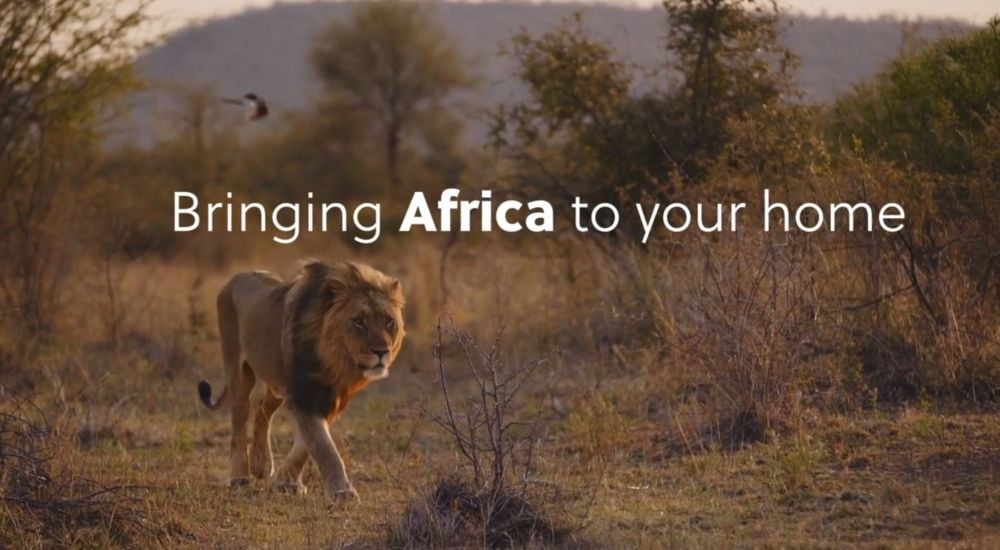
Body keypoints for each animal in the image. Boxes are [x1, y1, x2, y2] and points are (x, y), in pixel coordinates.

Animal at [196, 260, 405, 501]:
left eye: (388, 321)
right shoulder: (302, 394)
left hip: (276, 385)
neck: (335, 364)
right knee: (239, 422)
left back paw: (262, 464)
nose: (382, 351)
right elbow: (323, 446)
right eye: (358, 321)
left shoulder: (332, 399)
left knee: (262, 410)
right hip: (238, 371)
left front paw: (285, 482)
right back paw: (240, 477)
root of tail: (233, 279)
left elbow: (306, 445)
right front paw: (342, 491)